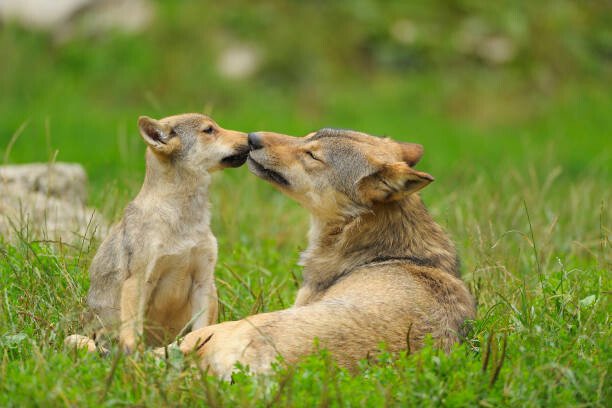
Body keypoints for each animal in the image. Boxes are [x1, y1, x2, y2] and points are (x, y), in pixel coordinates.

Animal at [64, 113, 249, 352]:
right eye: (209, 130)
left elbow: (200, 332)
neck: (183, 218)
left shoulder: (203, 281)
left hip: (212, 290)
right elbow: (132, 336)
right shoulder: (139, 280)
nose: (252, 138)